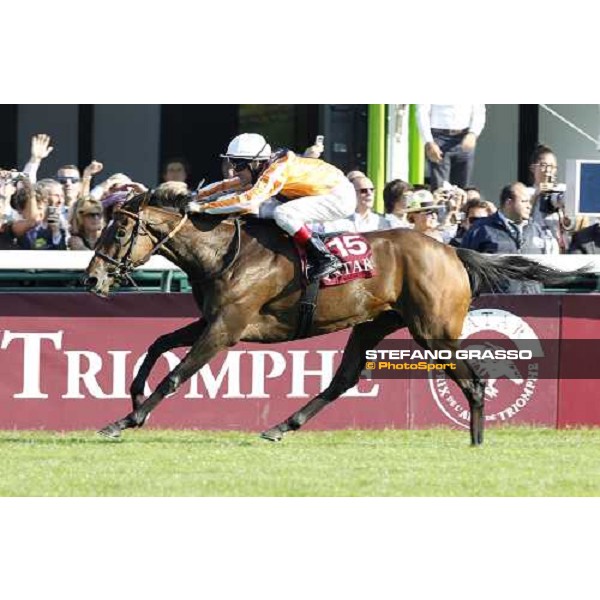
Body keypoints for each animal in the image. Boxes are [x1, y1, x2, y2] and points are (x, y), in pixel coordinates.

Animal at [85, 190, 584, 442]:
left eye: (121, 231)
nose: (92, 279)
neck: (224, 253)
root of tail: (452, 249)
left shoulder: (228, 327)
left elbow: (177, 374)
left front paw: (125, 421)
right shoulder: (214, 319)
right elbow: (158, 343)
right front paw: (133, 396)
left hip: (434, 330)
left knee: (473, 381)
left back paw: (477, 443)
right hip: (374, 324)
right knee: (343, 378)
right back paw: (282, 426)